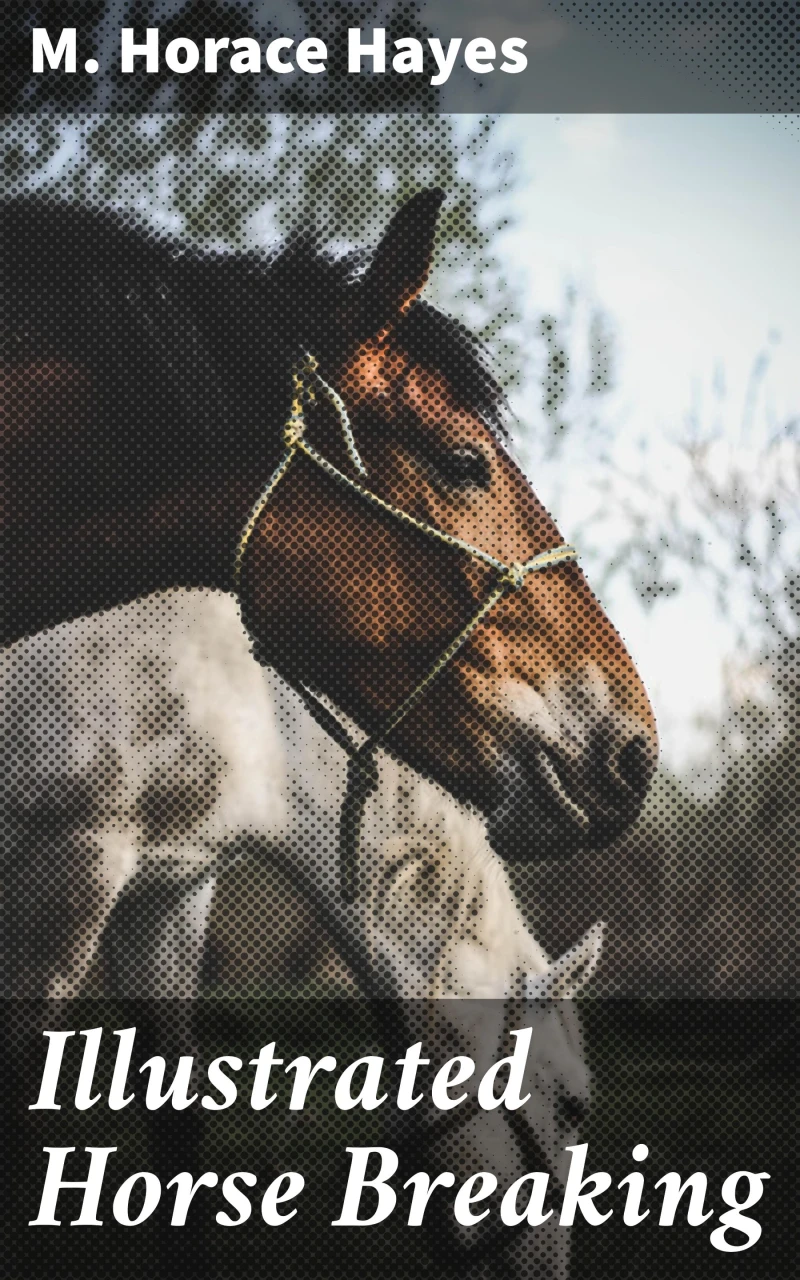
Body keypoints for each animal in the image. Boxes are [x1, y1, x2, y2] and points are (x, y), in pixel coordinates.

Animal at [3, 189, 657, 1275]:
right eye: (462, 461)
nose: (631, 751)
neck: (238, 692)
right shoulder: (66, 867)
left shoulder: (168, 886)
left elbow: (174, 1128)